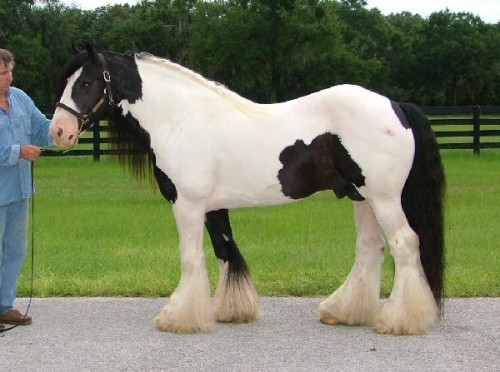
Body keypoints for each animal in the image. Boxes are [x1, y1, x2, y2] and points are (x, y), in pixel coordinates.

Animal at [49, 43, 446, 334]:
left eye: (85, 83)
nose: (59, 132)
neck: (181, 119)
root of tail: (395, 105)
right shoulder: (212, 207)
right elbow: (226, 252)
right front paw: (231, 311)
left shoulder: (188, 204)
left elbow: (191, 258)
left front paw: (179, 318)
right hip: (360, 197)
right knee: (370, 249)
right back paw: (343, 311)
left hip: (383, 198)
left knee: (405, 244)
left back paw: (400, 321)